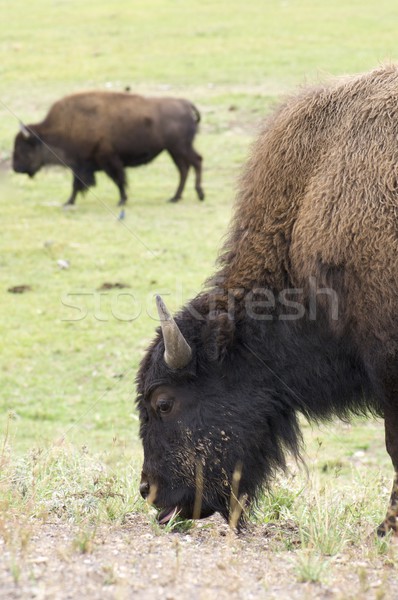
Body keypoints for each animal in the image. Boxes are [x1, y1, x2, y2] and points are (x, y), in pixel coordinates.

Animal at [12, 91, 205, 206]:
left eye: (23, 147)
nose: (15, 167)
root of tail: (185, 104)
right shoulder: (80, 165)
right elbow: (76, 184)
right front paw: (69, 202)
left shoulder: (107, 159)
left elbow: (118, 179)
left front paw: (122, 200)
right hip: (174, 150)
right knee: (184, 168)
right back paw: (175, 197)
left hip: (180, 148)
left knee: (195, 162)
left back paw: (199, 194)